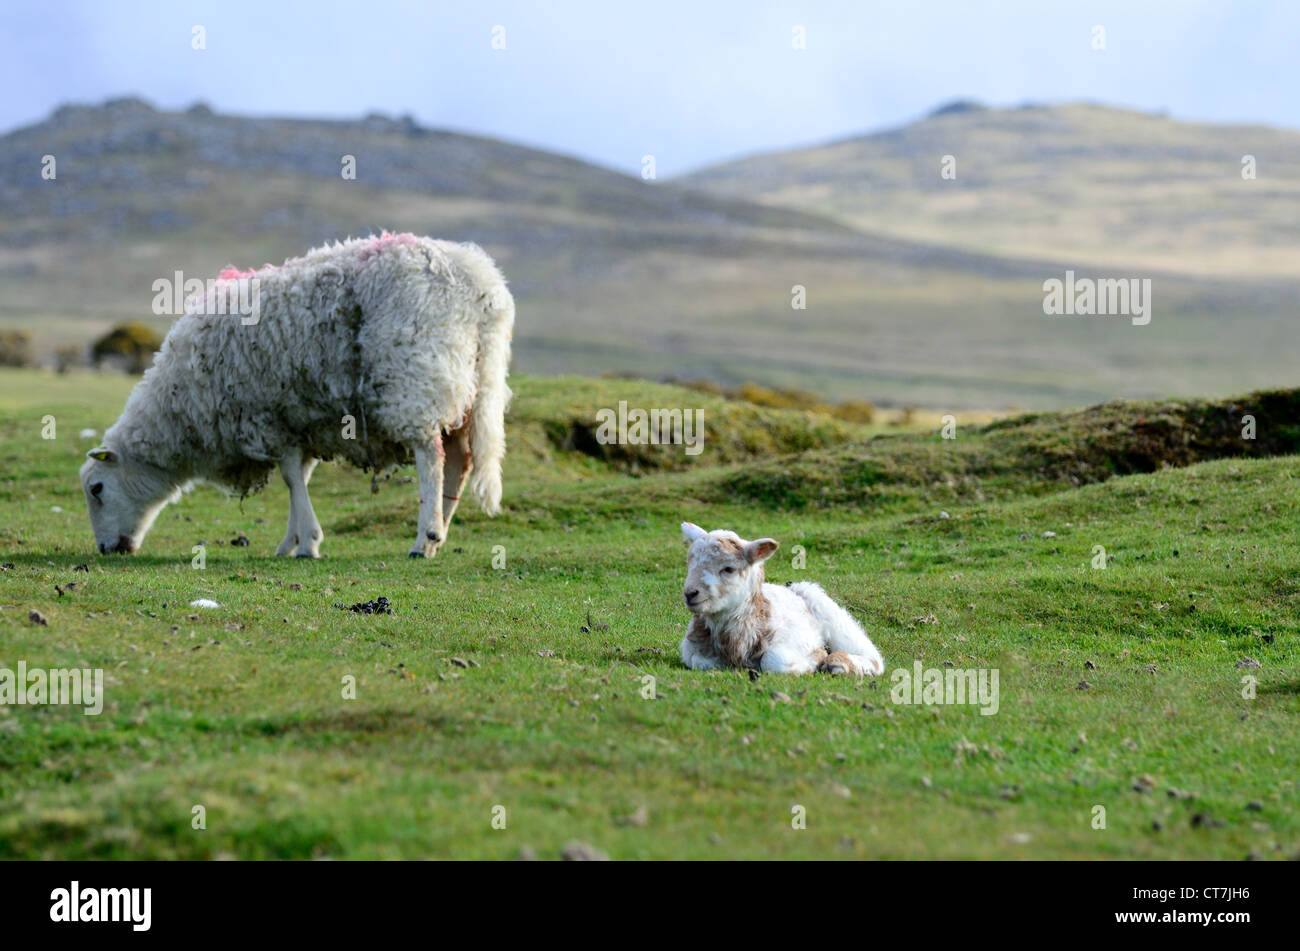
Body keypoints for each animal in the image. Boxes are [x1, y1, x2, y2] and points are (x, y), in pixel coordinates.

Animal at [77, 232, 517, 556]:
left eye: (97, 489)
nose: (106, 550)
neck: (181, 405)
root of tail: (484, 286)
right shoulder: (298, 419)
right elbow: (298, 479)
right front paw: (291, 541)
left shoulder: (270, 417)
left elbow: (291, 478)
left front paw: (307, 542)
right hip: (470, 383)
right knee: (461, 459)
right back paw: (439, 533)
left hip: (417, 375)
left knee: (432, 457)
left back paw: (425, 537)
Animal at [681, 519, 883, 675]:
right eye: (690, 563)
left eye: (728, 569)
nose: (690, 593)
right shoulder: (692, 648)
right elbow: (698, 660)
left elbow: (773, 660)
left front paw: (819, 656)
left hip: (829, 612)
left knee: (873, 658)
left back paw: (838, 663)